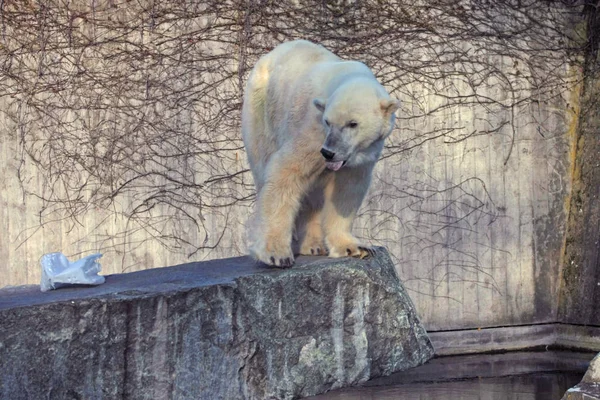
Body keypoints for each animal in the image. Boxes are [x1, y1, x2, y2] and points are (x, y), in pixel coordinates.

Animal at [241, 40, 400, 268]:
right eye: (327, 121)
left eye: (353, 123)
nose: (328, 153)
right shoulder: (312, 132)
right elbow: (285, 172)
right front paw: (276, 254)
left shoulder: (360, 157)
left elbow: (346, 189)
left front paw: (352, 247)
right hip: (262, 113)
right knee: (264, 164)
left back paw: (313, 244)